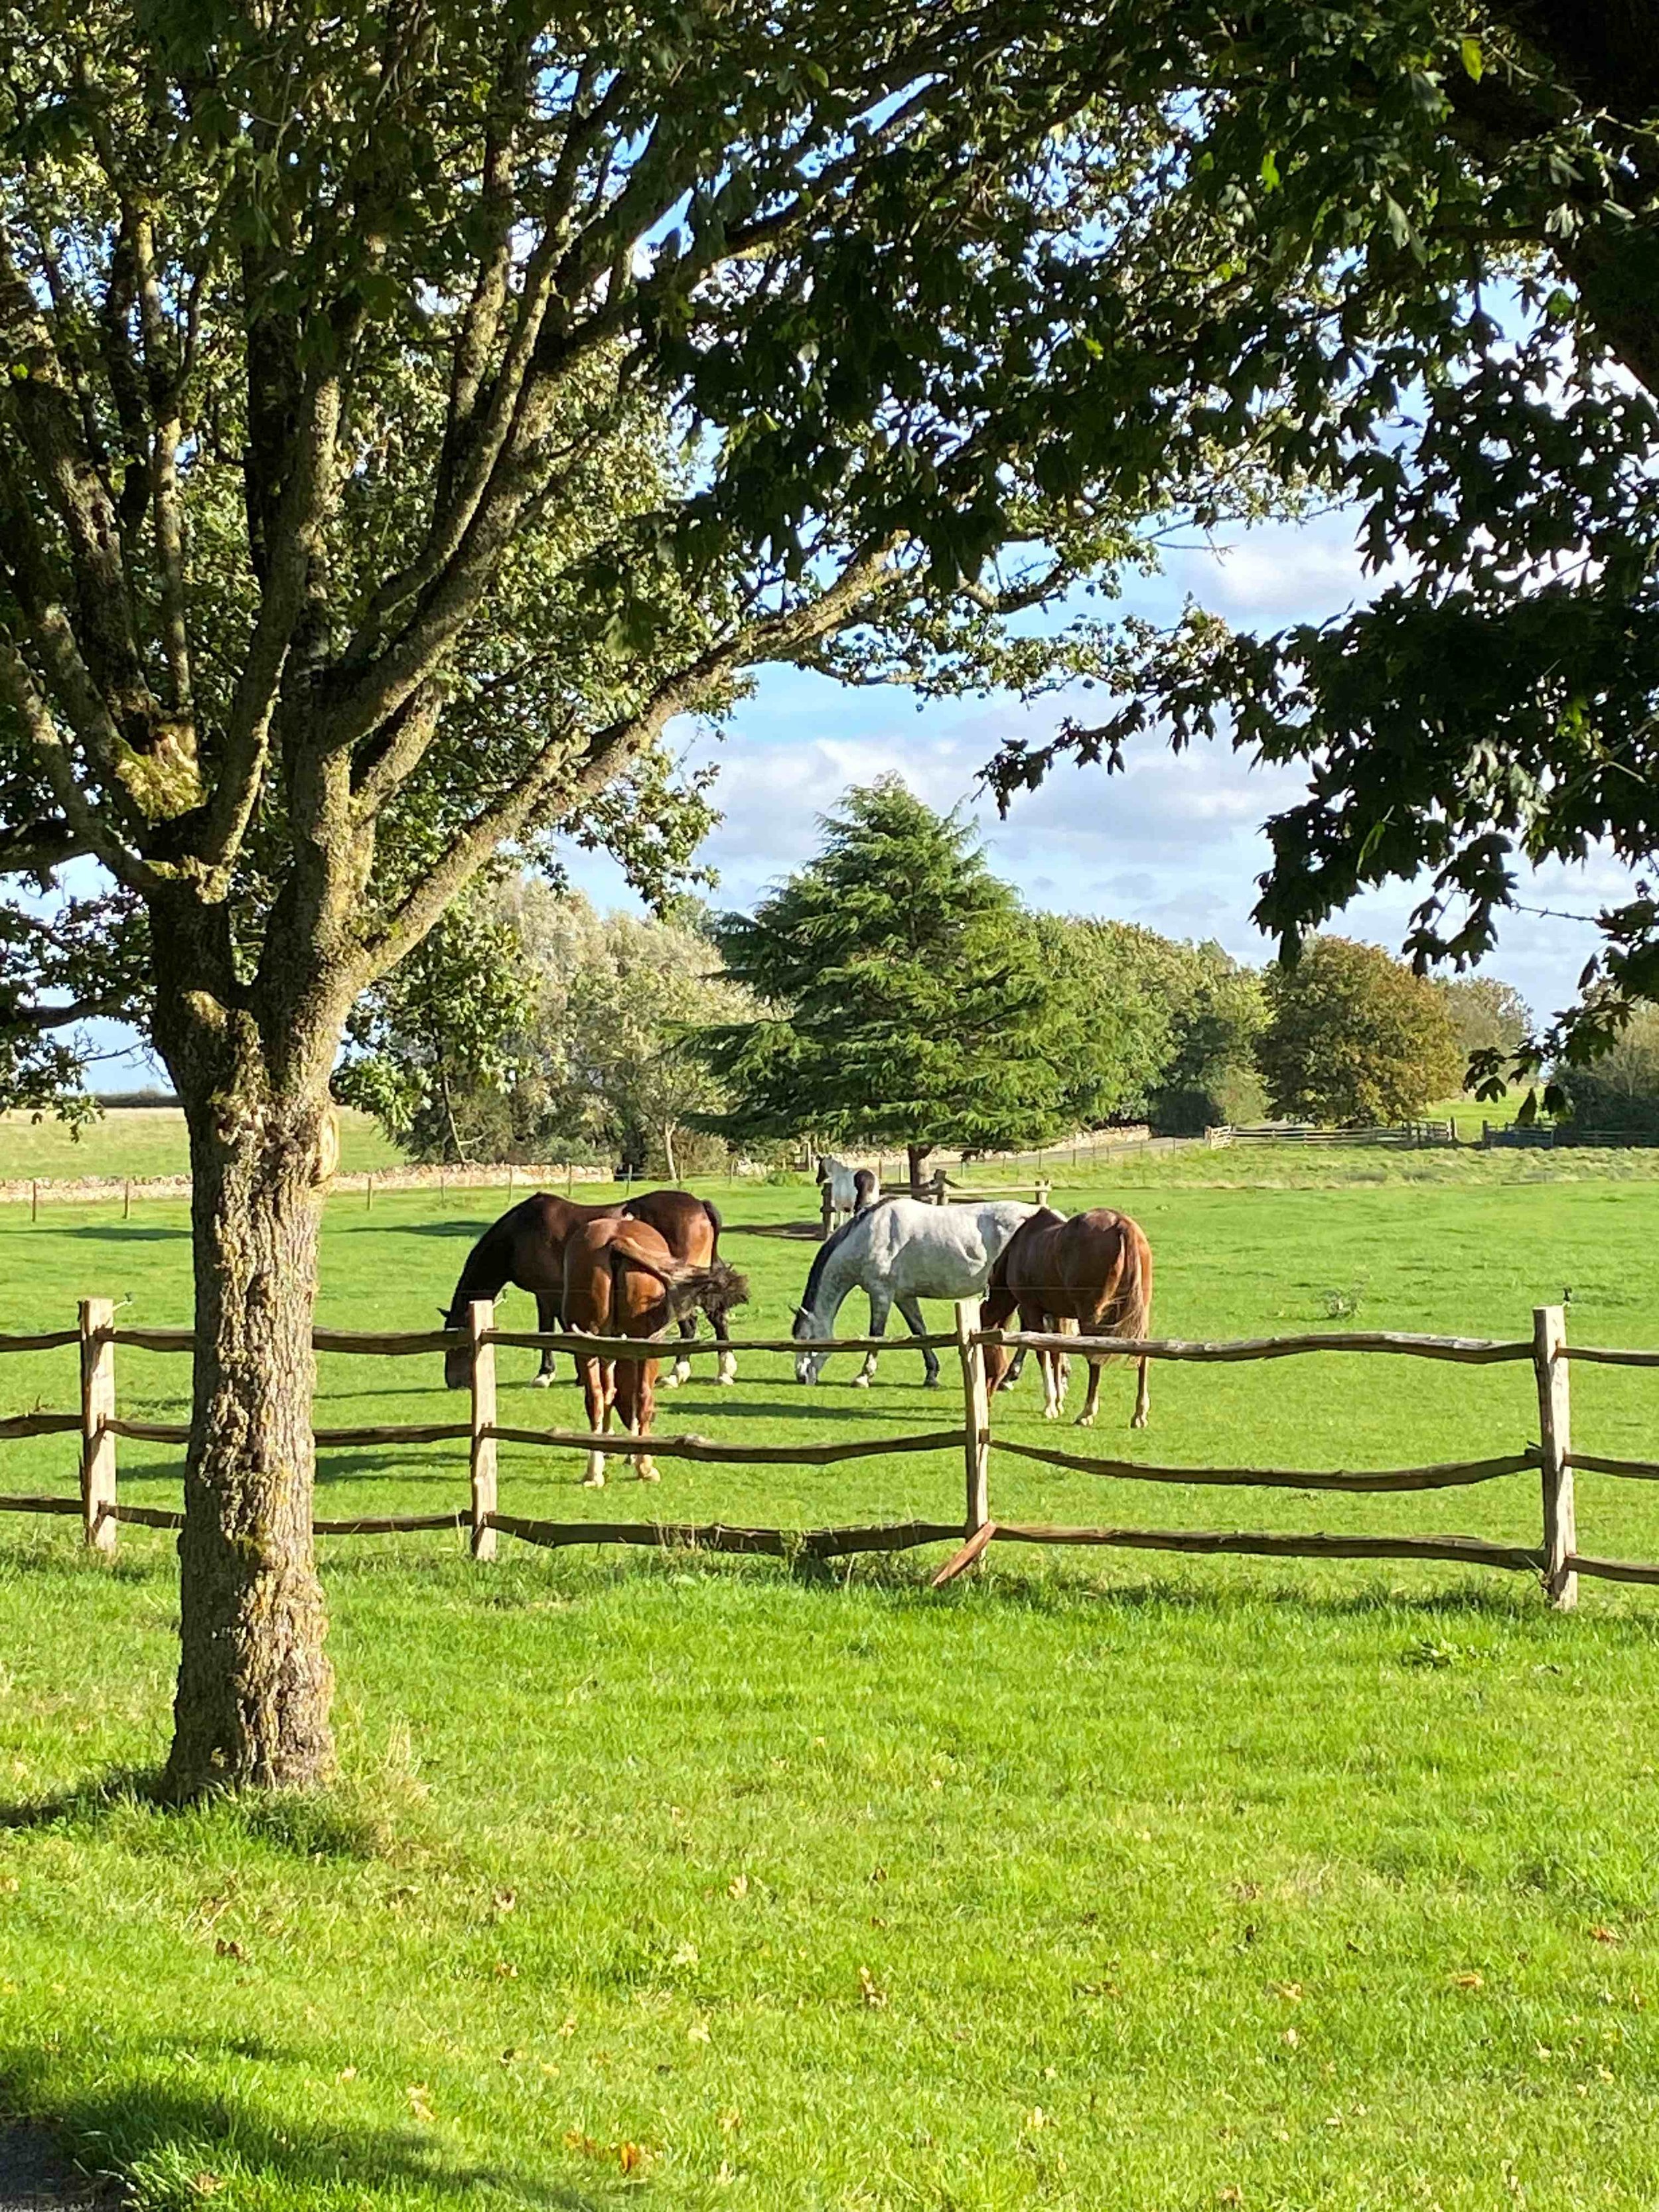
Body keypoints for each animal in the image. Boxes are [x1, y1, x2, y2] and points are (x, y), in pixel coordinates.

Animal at [440, 1189, 736, 1390]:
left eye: (456, 1345)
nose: (453, 1381)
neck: (518, 1235)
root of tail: (699, 1205)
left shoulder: (547, 1293)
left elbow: (550, 1331)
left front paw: (546, 1374)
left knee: (692, 1323)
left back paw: (679, 1374)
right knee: (714, 1317)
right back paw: (722, 1370)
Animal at [559, 1218, 749, 1486]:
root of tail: (616, 1239)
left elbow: (609, 1393)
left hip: (587, 1344)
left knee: (594, 1397)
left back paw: (594, 1472)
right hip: (647, 1346)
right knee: (643, 1397)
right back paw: (645, 1467)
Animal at [791, 1196, 1041, 1387]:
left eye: (806, 1338)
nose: (801, 1376)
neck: (868, 1236)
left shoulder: (881, 1294)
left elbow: (876, 1334)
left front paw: (864, 1376)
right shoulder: (904, 1297)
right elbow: (920, 1330)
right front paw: (932, 1374)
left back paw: (1009, 1377)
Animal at [980, 1207, 1154, 1429]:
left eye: (984, 1356)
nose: (986, 1399)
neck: (1019, 1249)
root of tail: (1121, 1225)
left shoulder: (1031, 1310)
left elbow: (1042, 1354)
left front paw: (1050, 1405)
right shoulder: (1057, 1314)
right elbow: (1056, 1351)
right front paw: (1059, 1399)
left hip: (1091, 1317)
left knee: (1095, 1359)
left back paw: (1087, 1412)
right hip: (1139, 1315)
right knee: (1143, 1355)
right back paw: (1139, 1413)